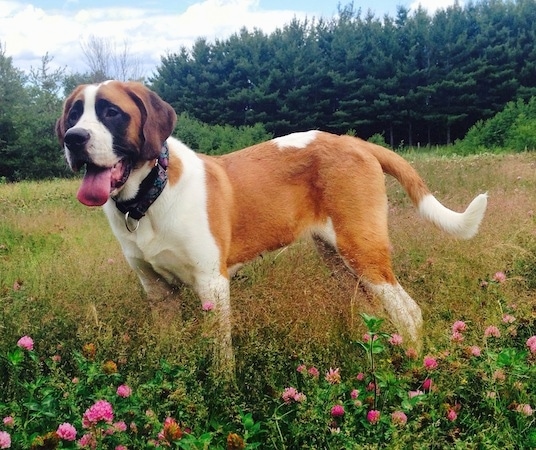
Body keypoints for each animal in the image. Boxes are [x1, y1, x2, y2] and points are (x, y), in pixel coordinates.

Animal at [56, 80, 488, 372]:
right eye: (74, 113)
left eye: (111, 112)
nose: (73, 138)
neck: (148, 197)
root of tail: (356, 142)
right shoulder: (158, 292)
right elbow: (169, 347)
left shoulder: (212, 284)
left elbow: (221, 353)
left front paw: (223, 394)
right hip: (339, 261)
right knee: (374, 309)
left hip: (362, 251)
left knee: (409, 312)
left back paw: (415, 365)